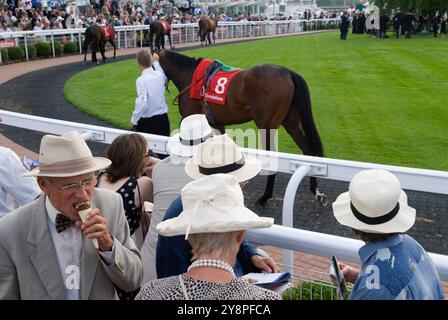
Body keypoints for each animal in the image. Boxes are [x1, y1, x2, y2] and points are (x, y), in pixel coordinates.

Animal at [159, 50, 328, 205]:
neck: (190, 75)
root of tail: (288, 72)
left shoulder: (189, 118)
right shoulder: (217, 124)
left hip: (266, 126)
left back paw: (265, 196)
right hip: (290, 123)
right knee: (308, 151)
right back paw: (316, 191)